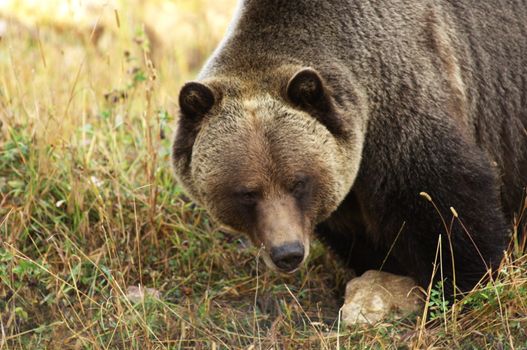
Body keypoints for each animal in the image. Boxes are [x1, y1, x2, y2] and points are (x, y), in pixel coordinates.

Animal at [172, 0, 527, 296]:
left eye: (298, 182)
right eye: (247, 192)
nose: (288, 253)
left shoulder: (405, 111)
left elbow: (448, 209)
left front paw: (466, 281)